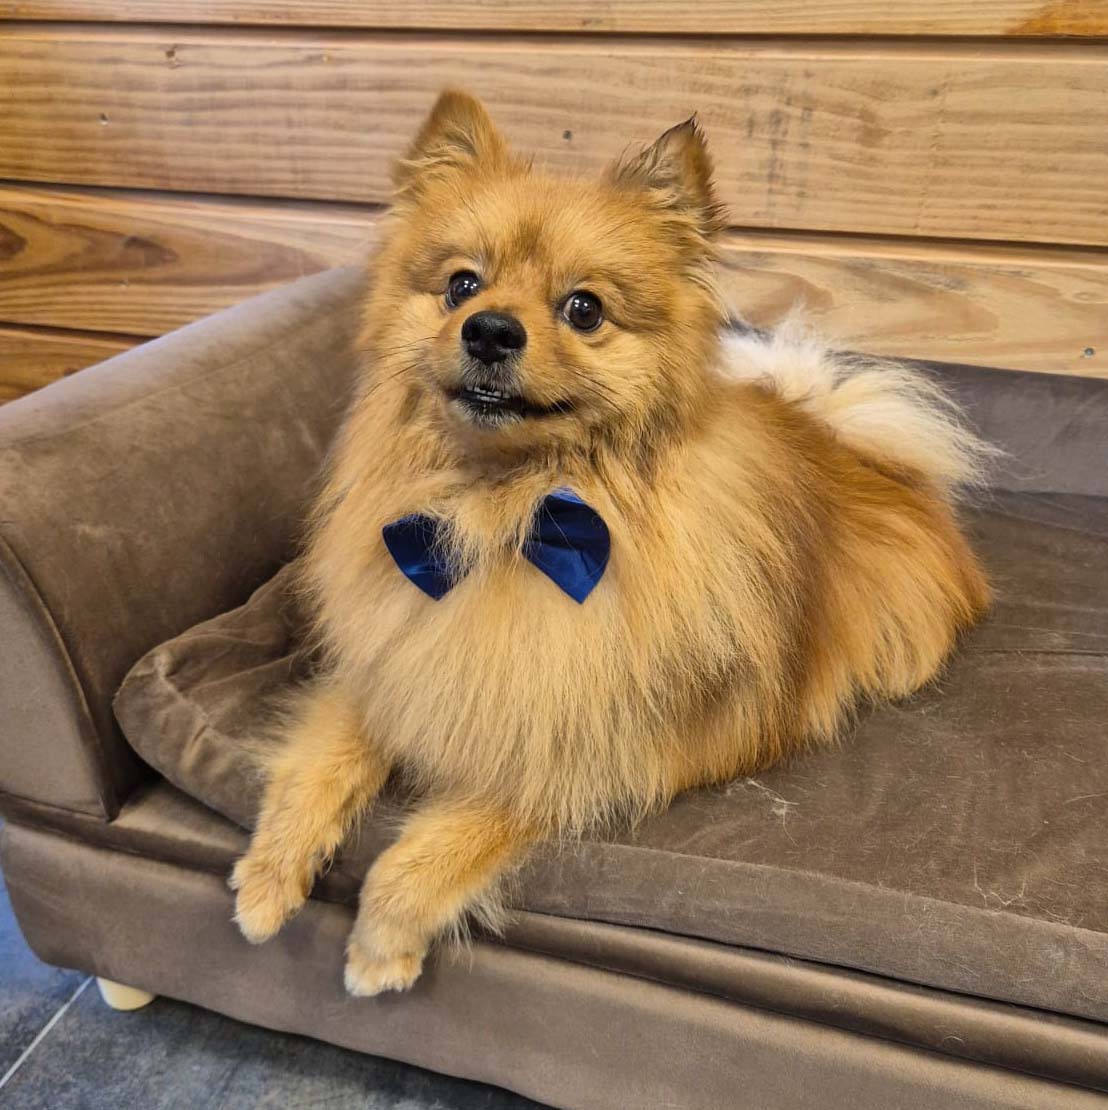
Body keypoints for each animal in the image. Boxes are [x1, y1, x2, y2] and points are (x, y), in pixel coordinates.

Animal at [231, 90, 990, 996]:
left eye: (583, 308)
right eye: (461, 284)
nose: (489, 330)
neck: (505, 515)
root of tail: (849, 440)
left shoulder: (589, 742)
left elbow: (428, 852)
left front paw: (380, 946)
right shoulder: (392, 664)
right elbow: (319, 764)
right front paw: (266, 881)